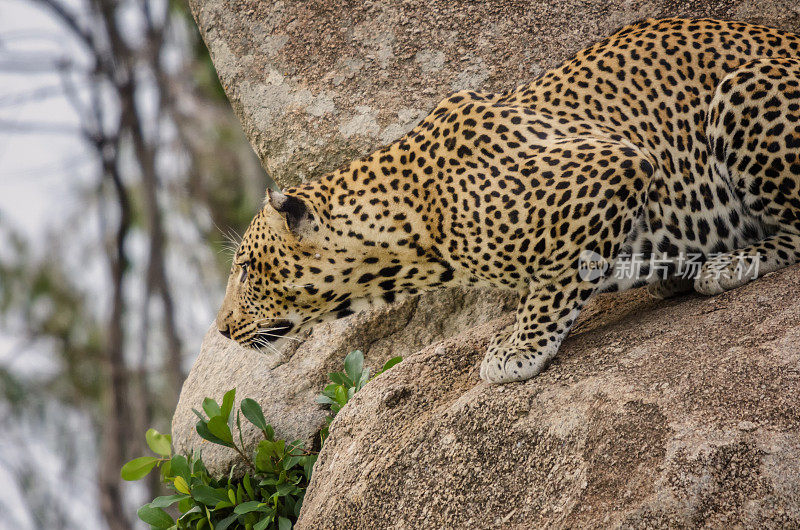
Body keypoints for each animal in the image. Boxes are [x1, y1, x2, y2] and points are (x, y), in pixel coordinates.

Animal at [216, 15, 800, 380]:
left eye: (245, 269)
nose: (220, 330)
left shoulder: (614, 165)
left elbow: (557, 280)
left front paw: (519, 350)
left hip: (743, 92)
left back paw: (728, 264)